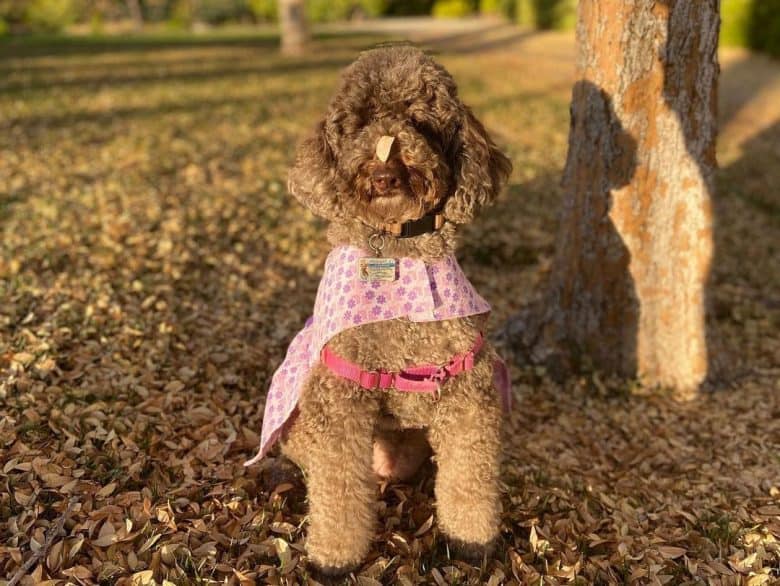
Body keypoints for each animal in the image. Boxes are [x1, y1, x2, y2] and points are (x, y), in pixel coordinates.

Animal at [245, 46, 512, 576]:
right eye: (361, 122)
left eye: (420, 120)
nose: (386, 172)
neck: (397, 254)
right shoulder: (339, 397)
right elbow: (339, 490)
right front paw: (333, 558)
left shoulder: (468, 392)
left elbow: (470, 478)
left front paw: (472, 543)